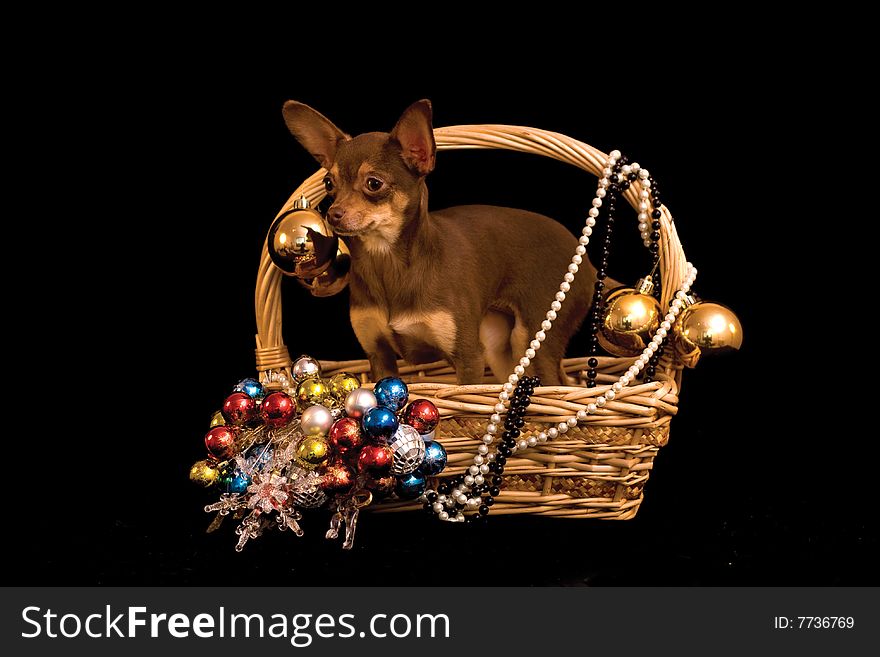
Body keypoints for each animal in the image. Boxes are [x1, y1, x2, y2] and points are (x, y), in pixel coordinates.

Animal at [286, 99, 596, 382]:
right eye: (329, 184)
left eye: (374, 183)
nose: (332, 214)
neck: (387, 261)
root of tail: (586, 261)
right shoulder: (379, 356)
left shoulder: (468, 359)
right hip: (500, 349)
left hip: (533, 339)